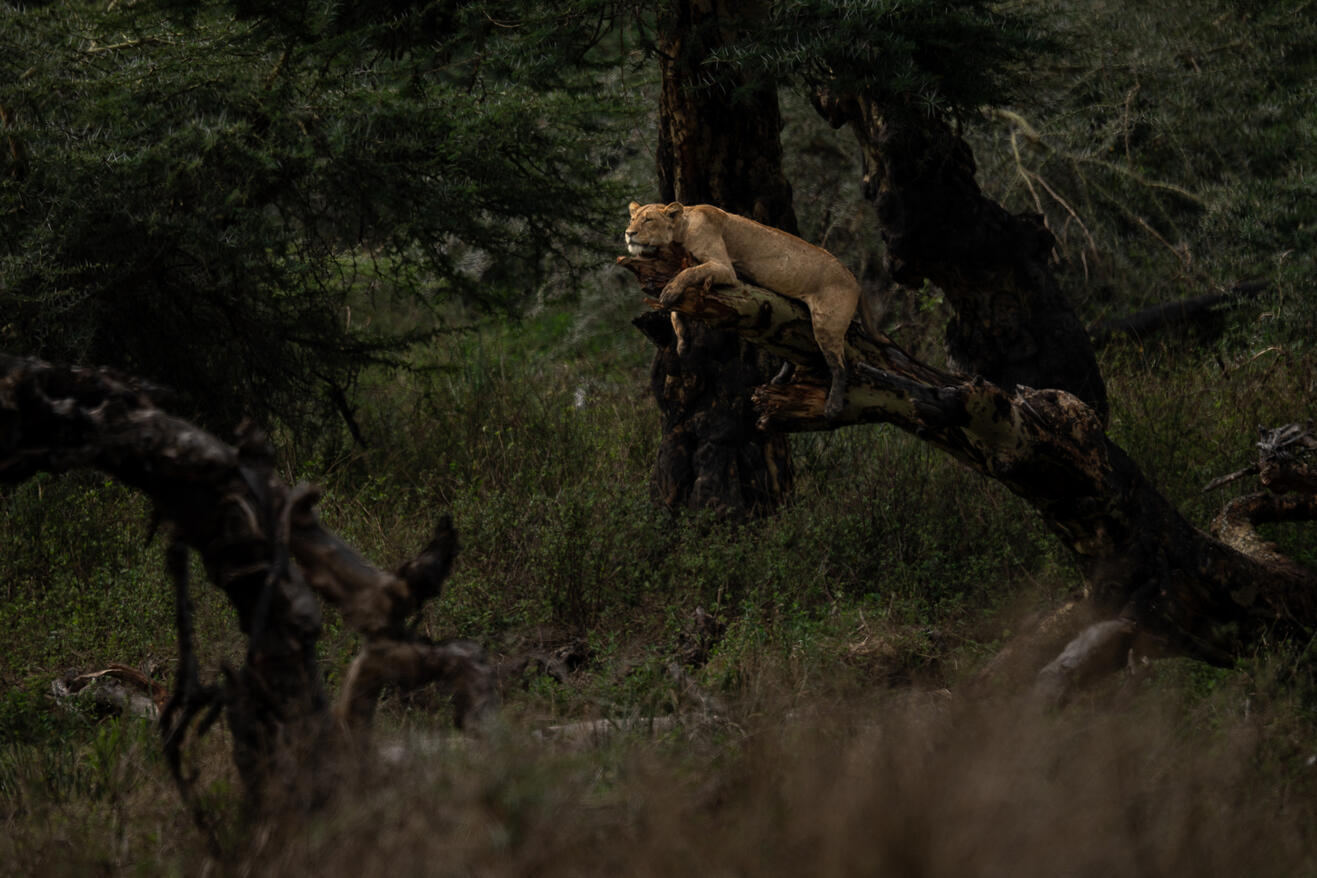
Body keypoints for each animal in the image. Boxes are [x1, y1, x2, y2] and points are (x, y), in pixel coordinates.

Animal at [626, 201, 863, 419]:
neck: (682, 229)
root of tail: (854, 280)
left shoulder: (724, 268)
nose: (629, 233)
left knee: (840, 365)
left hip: (827, 324)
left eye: (648, 220)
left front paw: (669, 292)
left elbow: (689, 273)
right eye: (632, 218)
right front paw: (683, 343)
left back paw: (833, 406)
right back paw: (779, 379)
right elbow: (677, 309)